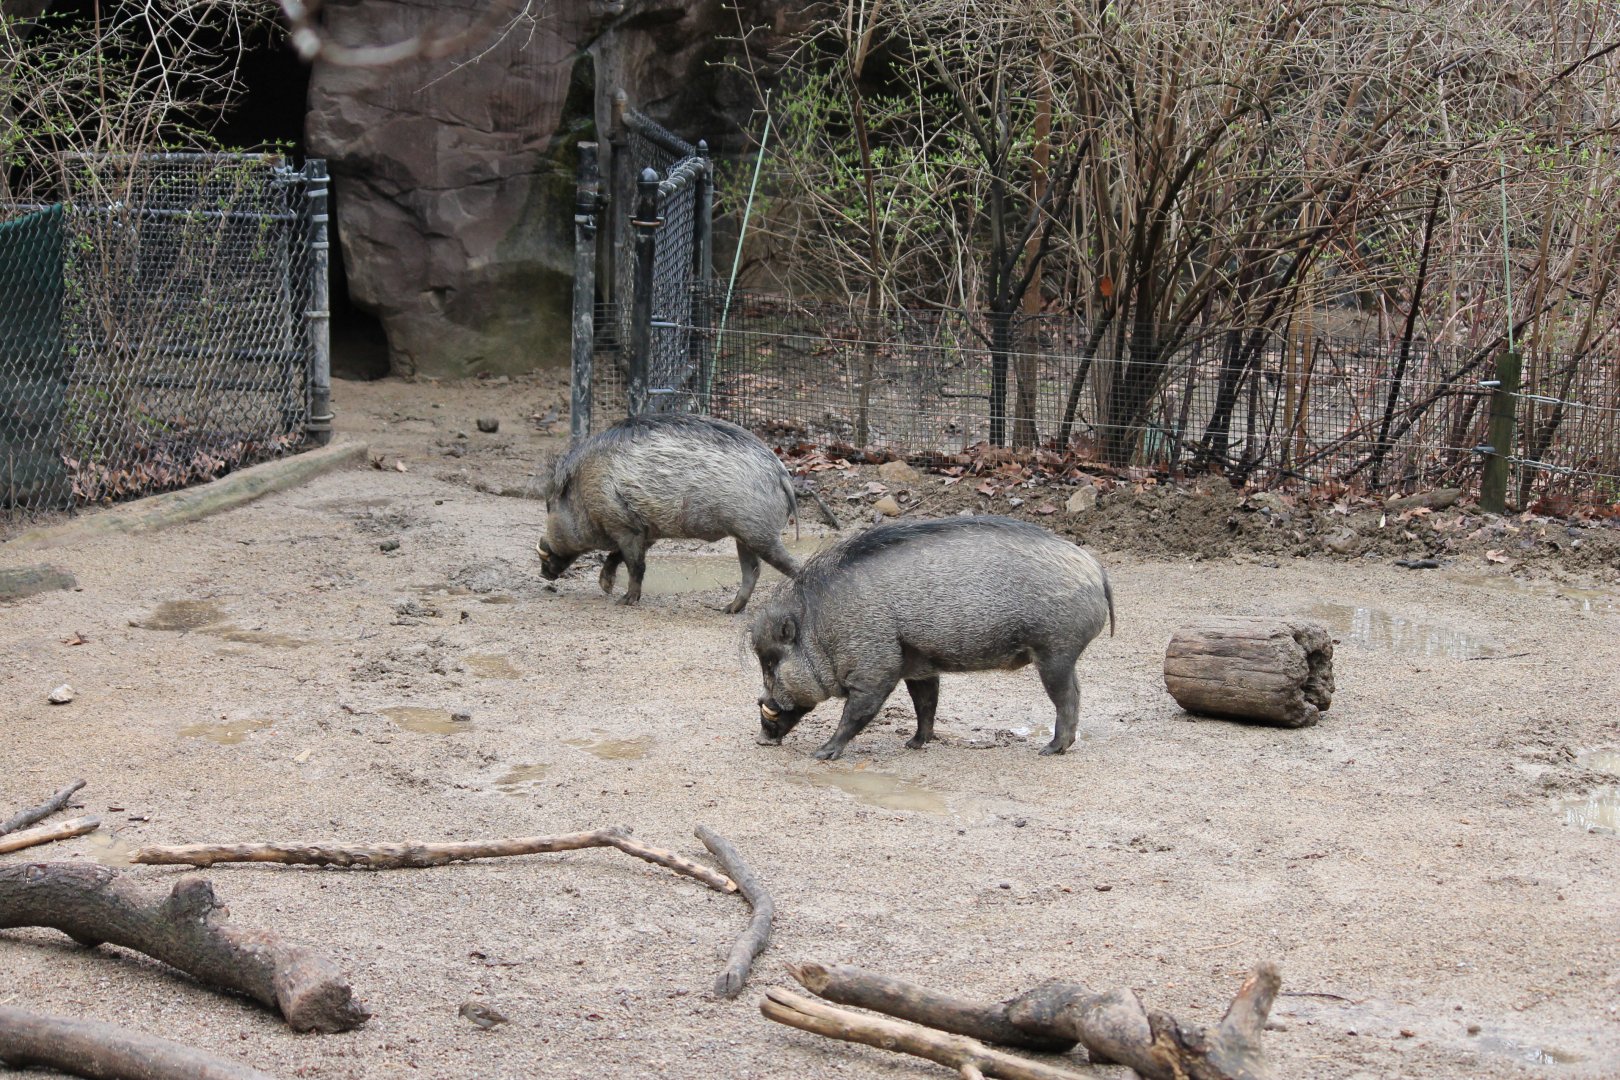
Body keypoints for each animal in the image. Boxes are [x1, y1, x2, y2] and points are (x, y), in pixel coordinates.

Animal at [536, 412, 800, 612]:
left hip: (759, 533)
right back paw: (727, 609)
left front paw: (625, 601)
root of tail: (782, 475)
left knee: (790, 565)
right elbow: (617, 557)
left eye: (550, 505)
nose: (542, 574)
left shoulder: (625, 527)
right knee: (752, 571)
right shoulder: (646, 532)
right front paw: (605, 587)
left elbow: (634, 564)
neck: (584, 489)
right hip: (744, 536)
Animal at [750, 515, 1113, 758]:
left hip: (1055, 651)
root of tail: (1096, 570)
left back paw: (1050, 750)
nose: (761, 739)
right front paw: (913, 744)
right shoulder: (919, 668)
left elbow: (855, 714)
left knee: (1068, 697)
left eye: (771, 663)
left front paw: (822, 754)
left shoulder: (876, 670)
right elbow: (926, 704)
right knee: (1076, 692)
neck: (821, 628)